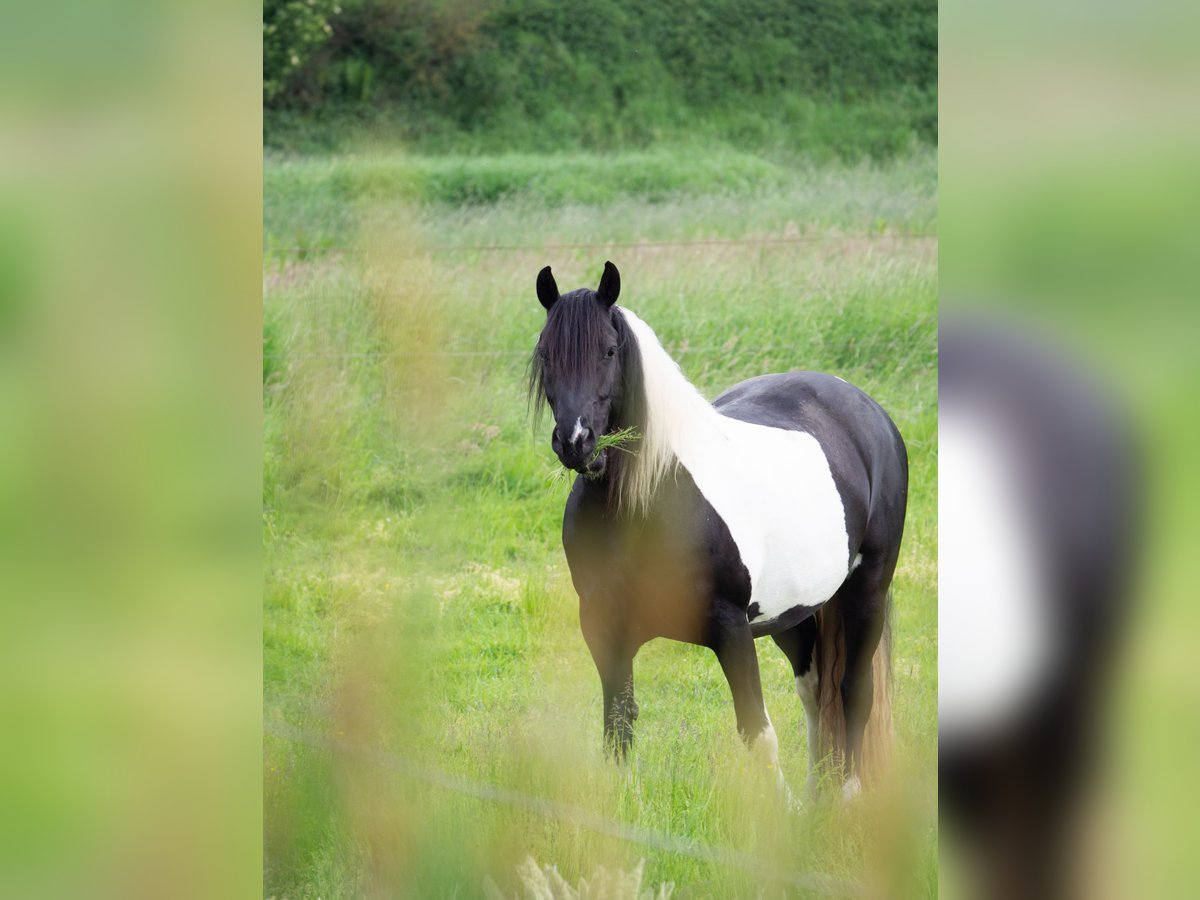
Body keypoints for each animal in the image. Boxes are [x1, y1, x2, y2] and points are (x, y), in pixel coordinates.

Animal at [530, 260, 902, 796]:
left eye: (609, 350)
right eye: (545, 353)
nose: (577, 443)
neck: (646, 506)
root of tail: (867, 409)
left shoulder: (731, 631)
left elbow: (757, 733)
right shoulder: (603, 627)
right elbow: (617, 726)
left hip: (865, 591)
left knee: (854, 691)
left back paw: (847, 795)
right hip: (793, 613)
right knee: (815, 691)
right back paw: (818, 794)